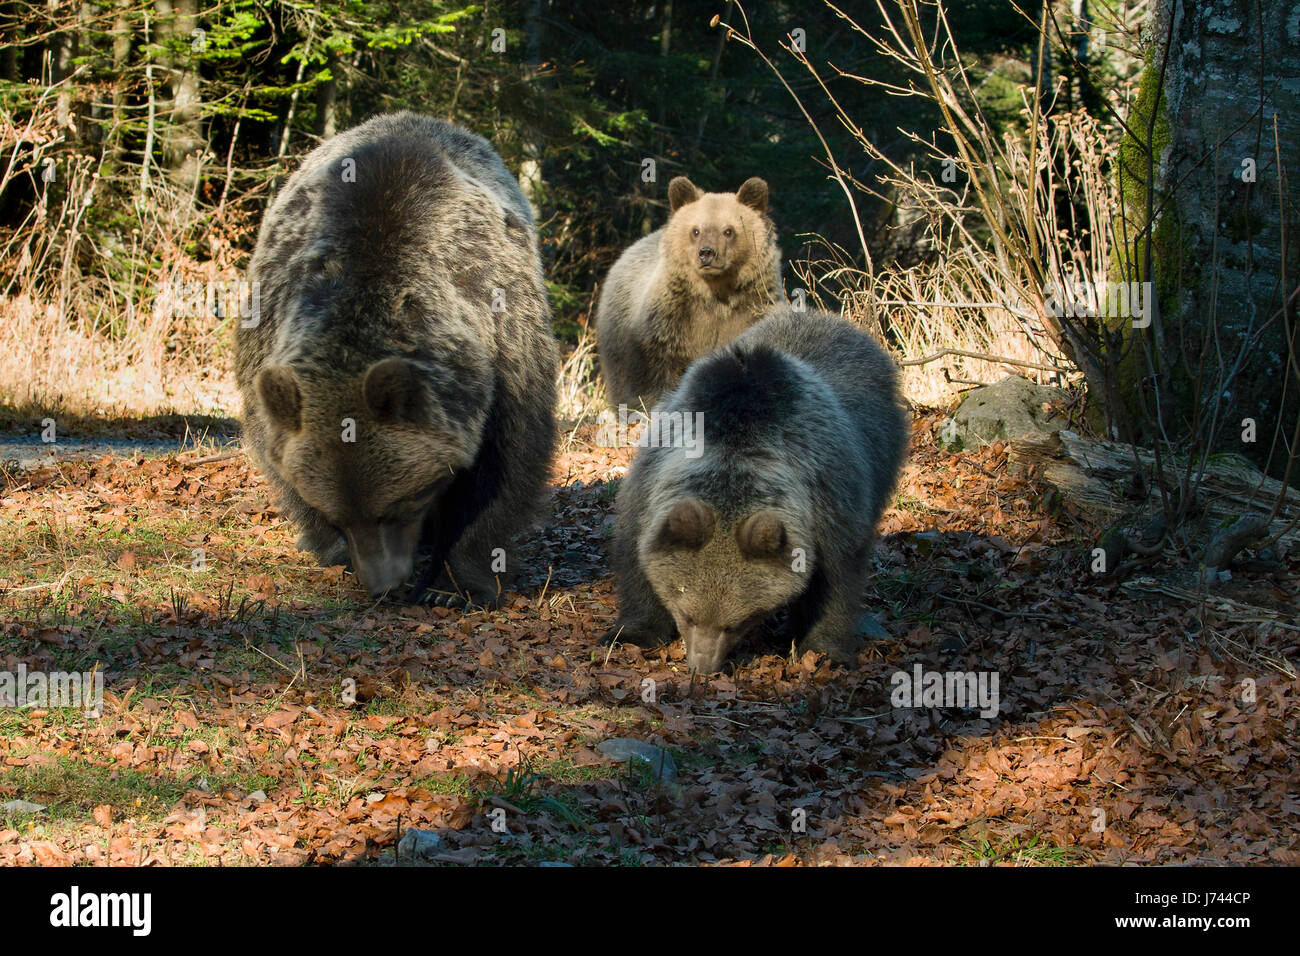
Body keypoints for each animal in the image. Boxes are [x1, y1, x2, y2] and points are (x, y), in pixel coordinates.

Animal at [236, 112, 559, 605]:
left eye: (397, 505)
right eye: (342, 516)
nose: (383, 585)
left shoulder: (503, 338)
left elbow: (508, 463)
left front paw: (456, 582)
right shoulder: (272, 331)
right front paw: (328, 547)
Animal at [595, 176, 783, 411]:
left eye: (728, 230)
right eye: (696, 230)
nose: (707, 253)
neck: (716, 294)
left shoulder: (751, 309)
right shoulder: (671, 320)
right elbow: (655, 371)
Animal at [603, 307, 908, 672]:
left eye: (734, 623)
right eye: (688, 615)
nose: (702, 666)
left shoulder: (829, 497)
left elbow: (837, 578)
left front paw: (825, 650)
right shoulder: (649, 485)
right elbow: (638, 562)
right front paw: (633, 632)